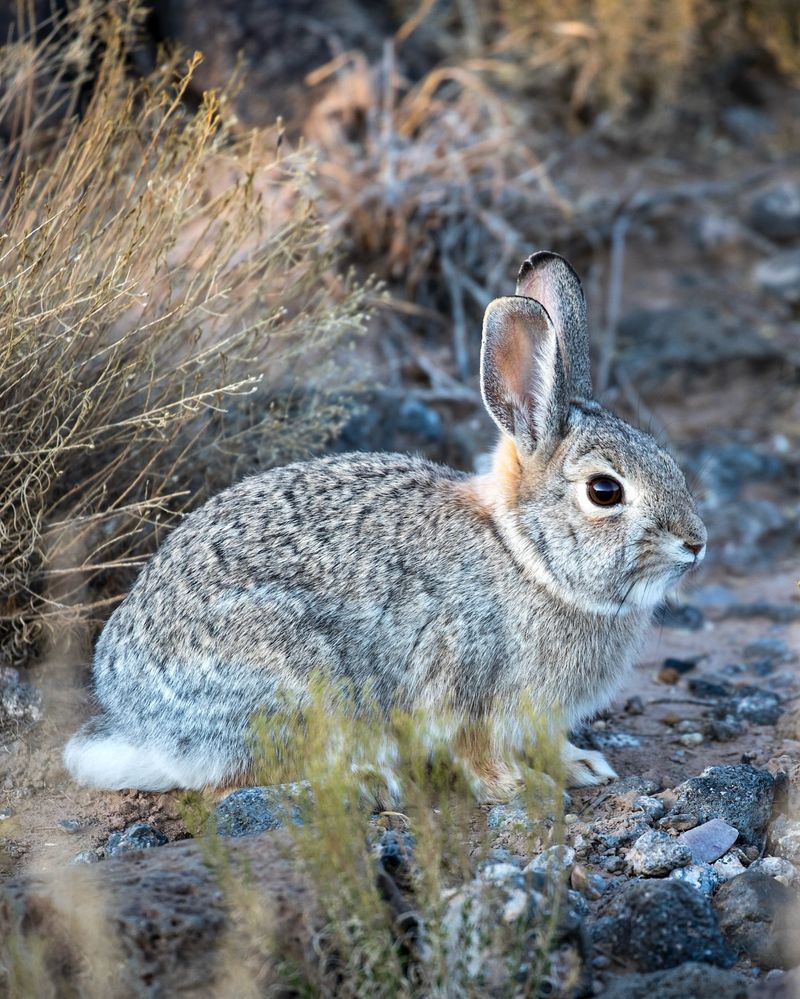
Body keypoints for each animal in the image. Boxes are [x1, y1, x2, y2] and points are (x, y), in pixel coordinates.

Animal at [64, 251, 706, 800]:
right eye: (605, 491)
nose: (696, 543)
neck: (526, 555)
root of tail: (139, 723)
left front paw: (581, 766)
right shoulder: (464, 686)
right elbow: (477, 752)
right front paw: (519, 788)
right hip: (292, 682)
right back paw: (363, 783)